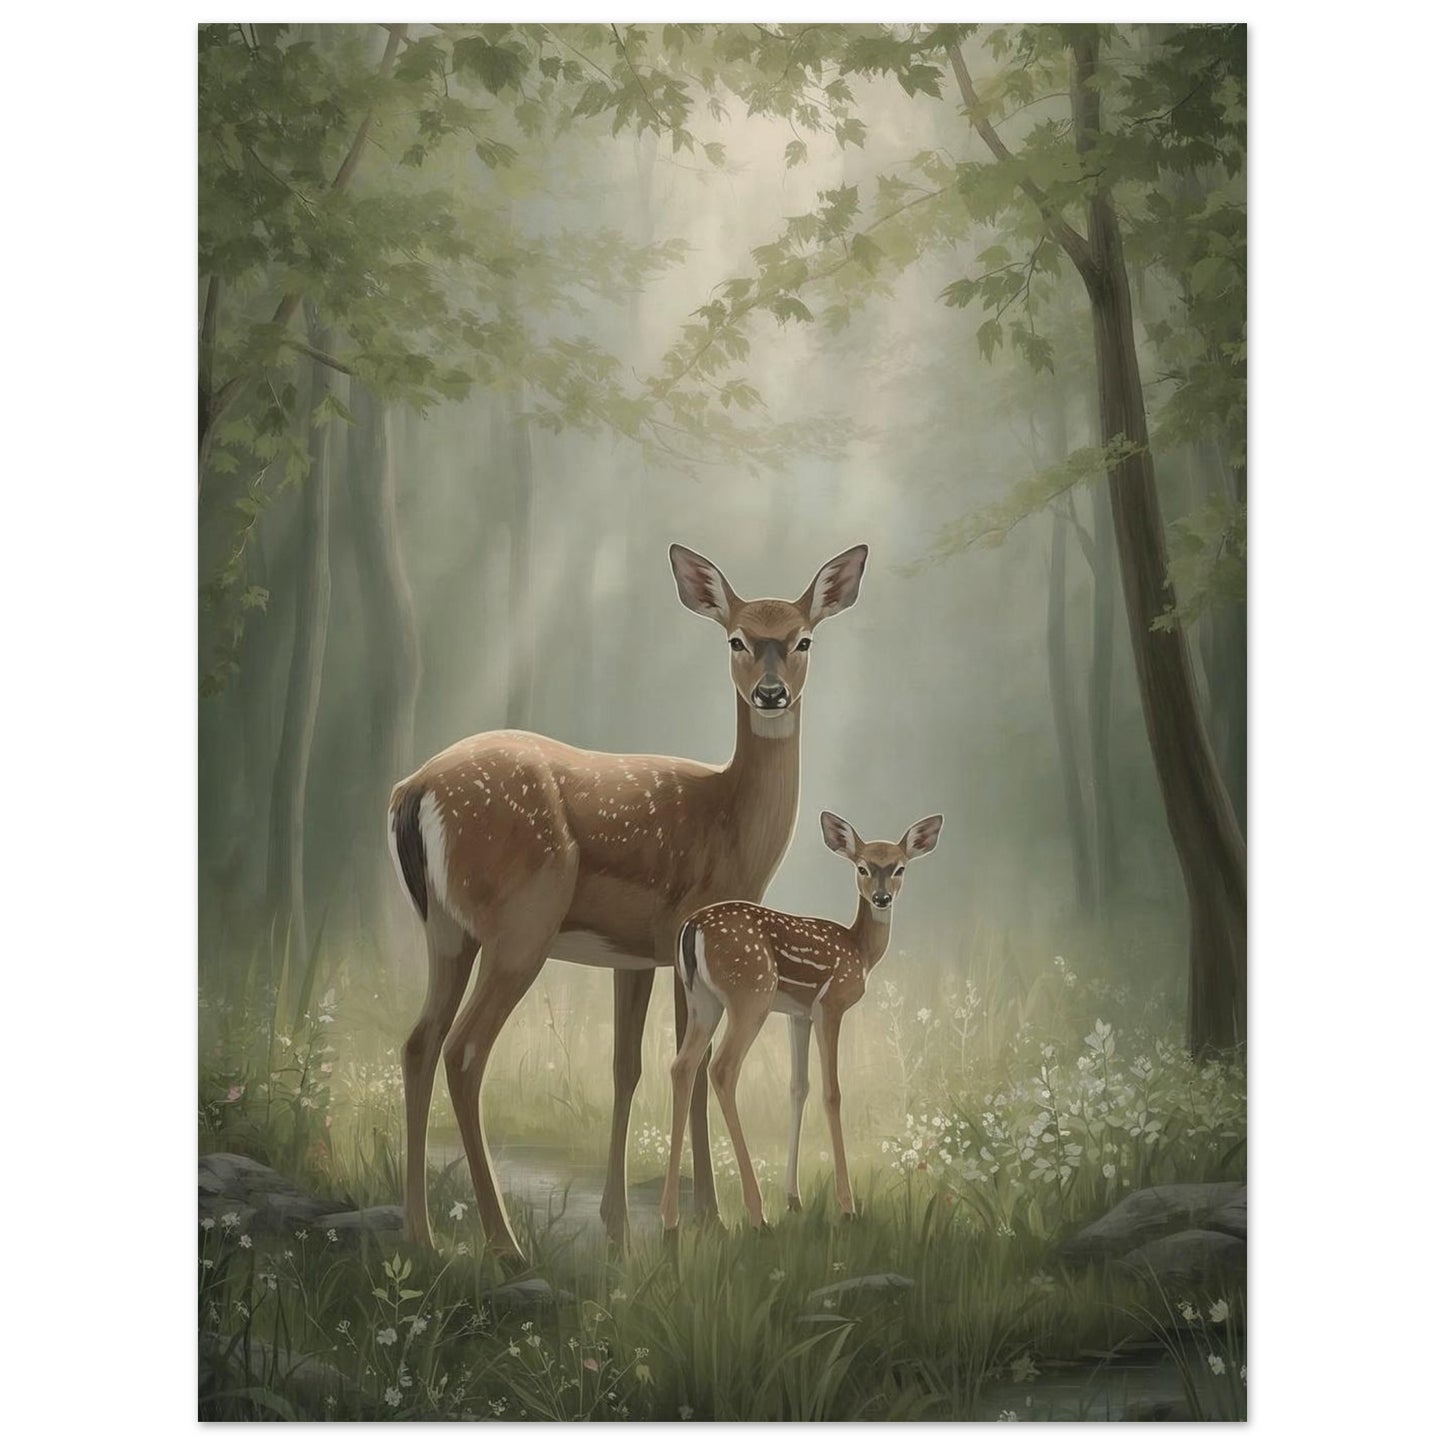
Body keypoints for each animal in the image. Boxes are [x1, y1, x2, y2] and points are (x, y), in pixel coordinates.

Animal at [386, 542, 869, 1259]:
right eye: (735, 638)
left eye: (803, 638)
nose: (770, 693)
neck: (731, 824)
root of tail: (411, 790)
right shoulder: (685, 929)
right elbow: (693, 1069)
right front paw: (707, 1217)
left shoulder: (635, 954)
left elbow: (625, 1069)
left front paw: (619, 1227)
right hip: (520, 924)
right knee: (465, 1051)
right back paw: (504, 1242)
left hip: (446, 928)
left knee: (419, 1042)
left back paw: (420, 1234)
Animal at [660, 809, 944, 1235]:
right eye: (862, 867)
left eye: (899, 868)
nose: (882, 898)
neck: (860, 951)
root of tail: (690, 928)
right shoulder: (830, 1005)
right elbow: (831, 1092)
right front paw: (847, 1206)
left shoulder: (799, 1014)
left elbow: (798, 1087)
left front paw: (794, 1199)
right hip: (750, 995)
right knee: (722, 1068)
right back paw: (756, 1214)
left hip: (701, 1000)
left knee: (682, 1066)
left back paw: (671, 1220)